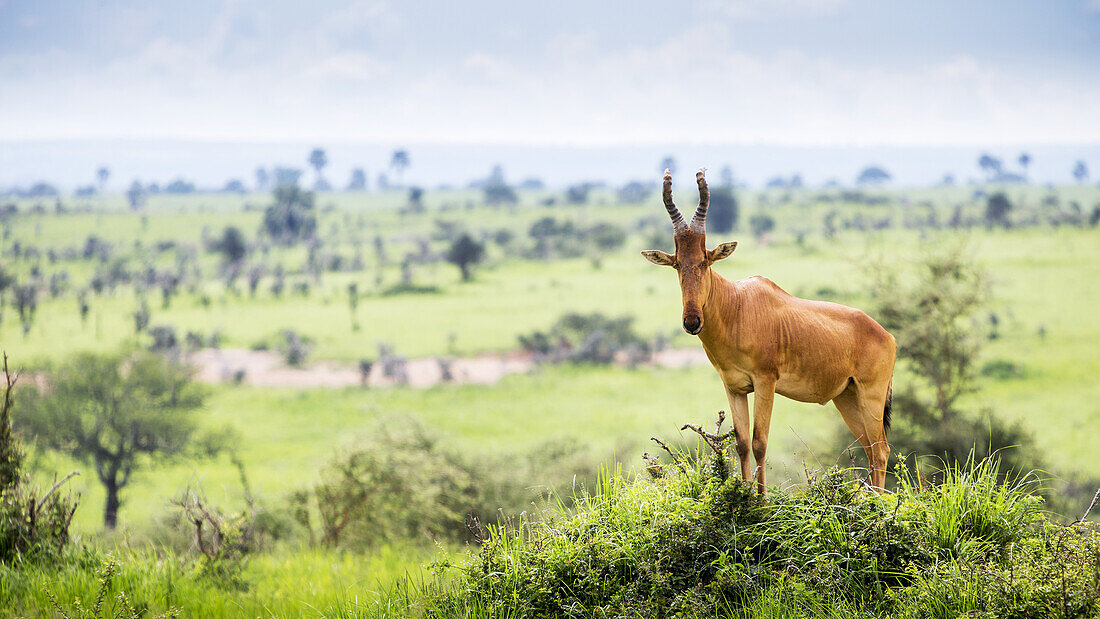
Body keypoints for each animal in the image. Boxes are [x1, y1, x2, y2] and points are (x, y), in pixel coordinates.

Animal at [642, 169, 893, 494]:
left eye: (705, 261)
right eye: (676, 264)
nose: (692, 321)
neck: (737, 305)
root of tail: (886, 335)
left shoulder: (765, 381)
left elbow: (760, 442)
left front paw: (762, 500)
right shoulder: (734, 387)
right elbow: (741, 444)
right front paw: (747, 496)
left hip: (871, 394)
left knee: (881, 449)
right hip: (847, 397)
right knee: (869, 449)